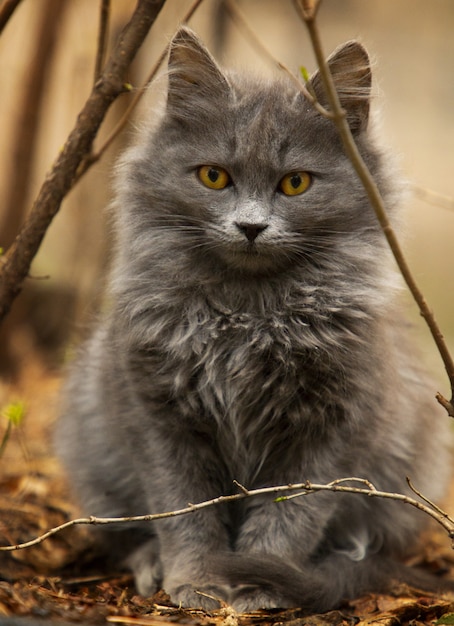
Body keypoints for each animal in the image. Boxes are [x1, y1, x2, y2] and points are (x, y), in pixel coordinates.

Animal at [55, 28, 450, 608]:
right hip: (93, 446)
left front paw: (261, 584)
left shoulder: (334, 427)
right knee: (125, 535)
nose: (250, 226)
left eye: (295, 184)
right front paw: (197, 582)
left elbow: (290, 516)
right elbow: (184, 513)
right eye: (214, 176)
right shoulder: (157, 413)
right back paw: (150, 564)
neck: (248, 317)